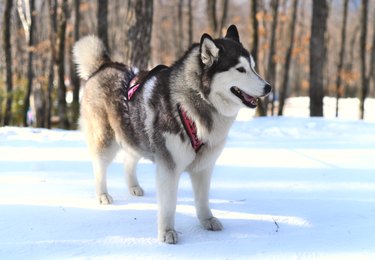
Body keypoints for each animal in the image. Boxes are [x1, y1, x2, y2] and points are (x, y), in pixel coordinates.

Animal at [73, 24, 272, 244]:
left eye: (253, 66)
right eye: (240, 69)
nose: (268, 87)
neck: (196, 102)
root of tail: (105, 65)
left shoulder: (204, 166)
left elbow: (202, 199)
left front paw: (207, 220)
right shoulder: (168, 167)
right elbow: (169, 205)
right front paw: (167, 232)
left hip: (135, 135)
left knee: (128, 161)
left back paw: (134, 187)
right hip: (106, 141)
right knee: (99, 167)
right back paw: (102, 195)